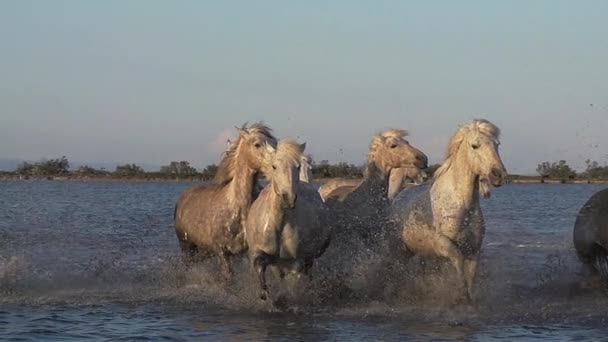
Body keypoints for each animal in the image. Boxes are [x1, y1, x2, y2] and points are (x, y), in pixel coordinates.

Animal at [392, 119, 506, 302]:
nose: (498, 175)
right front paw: (460, 295)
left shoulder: (474, 249)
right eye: (475, 145)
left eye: (497, 144)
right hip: (401, 250)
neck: (462, 207)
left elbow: (471, 276)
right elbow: (458, 261)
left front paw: (468, 298)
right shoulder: (443, 244)